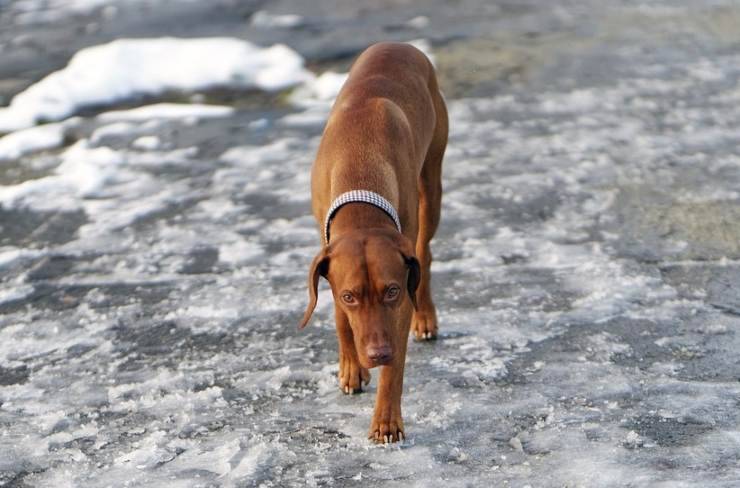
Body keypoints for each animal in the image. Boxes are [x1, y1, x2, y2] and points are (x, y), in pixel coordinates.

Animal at [300, 42, 448, 442]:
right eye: (350, 296)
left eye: (392, 291)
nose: (378, 354)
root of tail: (399, 44)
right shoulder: (328, 256)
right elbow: (339, 318)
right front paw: (352, 367)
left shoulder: (401, 288)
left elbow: (395, 371)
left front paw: (386, 420)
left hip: (431, 185)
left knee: (426, 253)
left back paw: (426, 316)